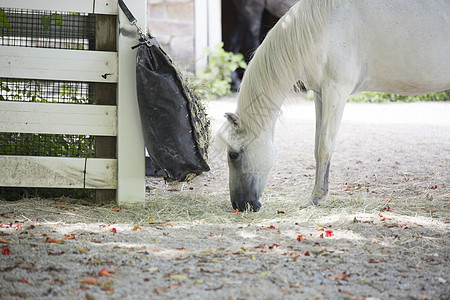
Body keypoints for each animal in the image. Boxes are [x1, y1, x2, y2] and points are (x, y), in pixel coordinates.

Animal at [218, 0, 450, 212]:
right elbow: (316, 148)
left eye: (233, 155)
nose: (240, 205)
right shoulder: (321, 94)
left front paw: (316, 198)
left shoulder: (336, 91)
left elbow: (325, 147)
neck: (324, 24)